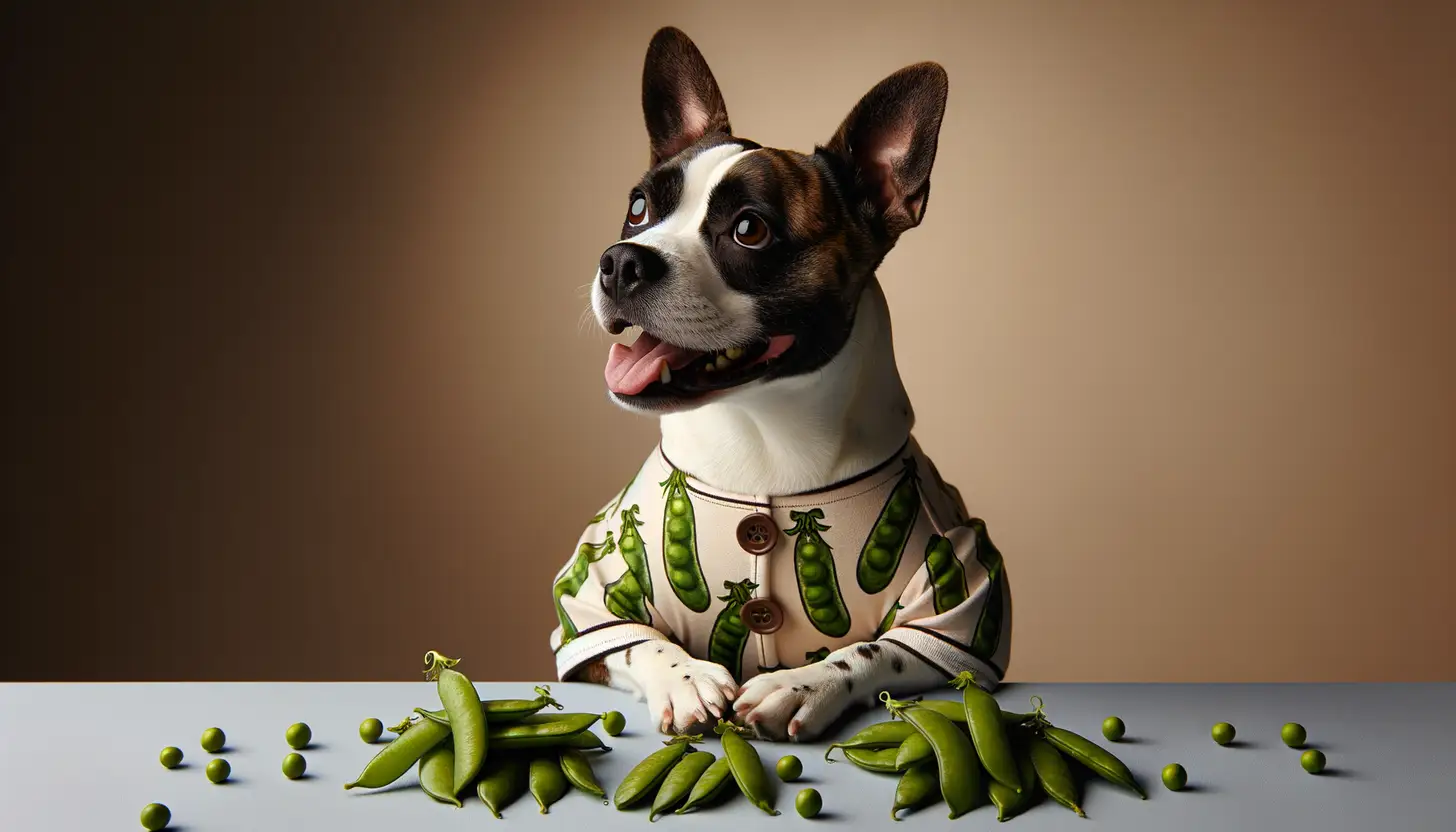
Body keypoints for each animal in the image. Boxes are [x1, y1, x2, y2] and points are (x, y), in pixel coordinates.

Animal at [547, 27, 1013, 743]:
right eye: (639, 208)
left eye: (749, 229)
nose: (622, 260)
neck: (761, 432)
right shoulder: (590, 597)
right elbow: (635, 639)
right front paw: (685, 677)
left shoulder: (961, 606)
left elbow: (876, 649)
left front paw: (800, 684)